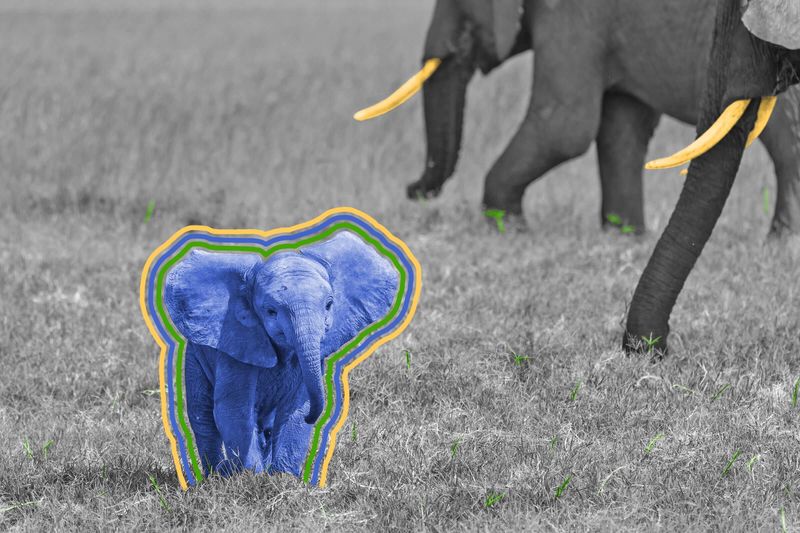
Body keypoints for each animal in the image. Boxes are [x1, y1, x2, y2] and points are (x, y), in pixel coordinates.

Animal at [164, 231, 399, 476]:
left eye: (329, 305)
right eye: (270, 311)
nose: (312, 416)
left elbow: (295, 407)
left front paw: (281, 477)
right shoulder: (238, 340)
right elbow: (234, 409)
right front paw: (252, 478)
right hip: (194, 356)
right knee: (203, 416)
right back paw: (217, 475)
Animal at [356, 0, 800, 235]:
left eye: (459, 7)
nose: (411, 188)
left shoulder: (573, 16)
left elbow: (564, 126)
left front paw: (510, 227)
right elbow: (620, 130)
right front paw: (623, 235)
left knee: (785, 146)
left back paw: (780, 243)